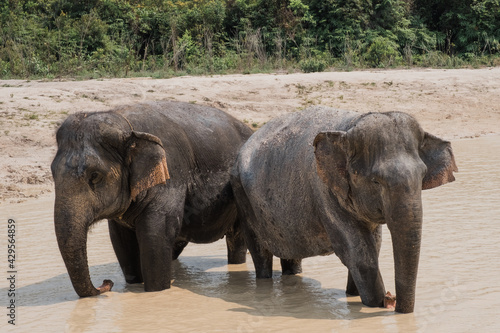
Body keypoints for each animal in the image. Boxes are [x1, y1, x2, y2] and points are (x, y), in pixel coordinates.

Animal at [51, 100, 254, 296]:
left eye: (94, 176)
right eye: (52, 172)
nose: (106, 283)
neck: (123, 121)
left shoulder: (171, 174)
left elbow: (155, 235)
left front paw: (156, 293)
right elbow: (122, 241)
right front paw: (134, 286)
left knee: (237, 240)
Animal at [230, 105, 458, 312]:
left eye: (422, 175)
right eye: (376, 181)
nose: (393, 304)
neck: (350, 125)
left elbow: (372, 246)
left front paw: (354, 296)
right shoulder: (323, 192)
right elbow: (358, 252)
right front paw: (374, 305)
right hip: (242, 198)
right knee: (259, 253)